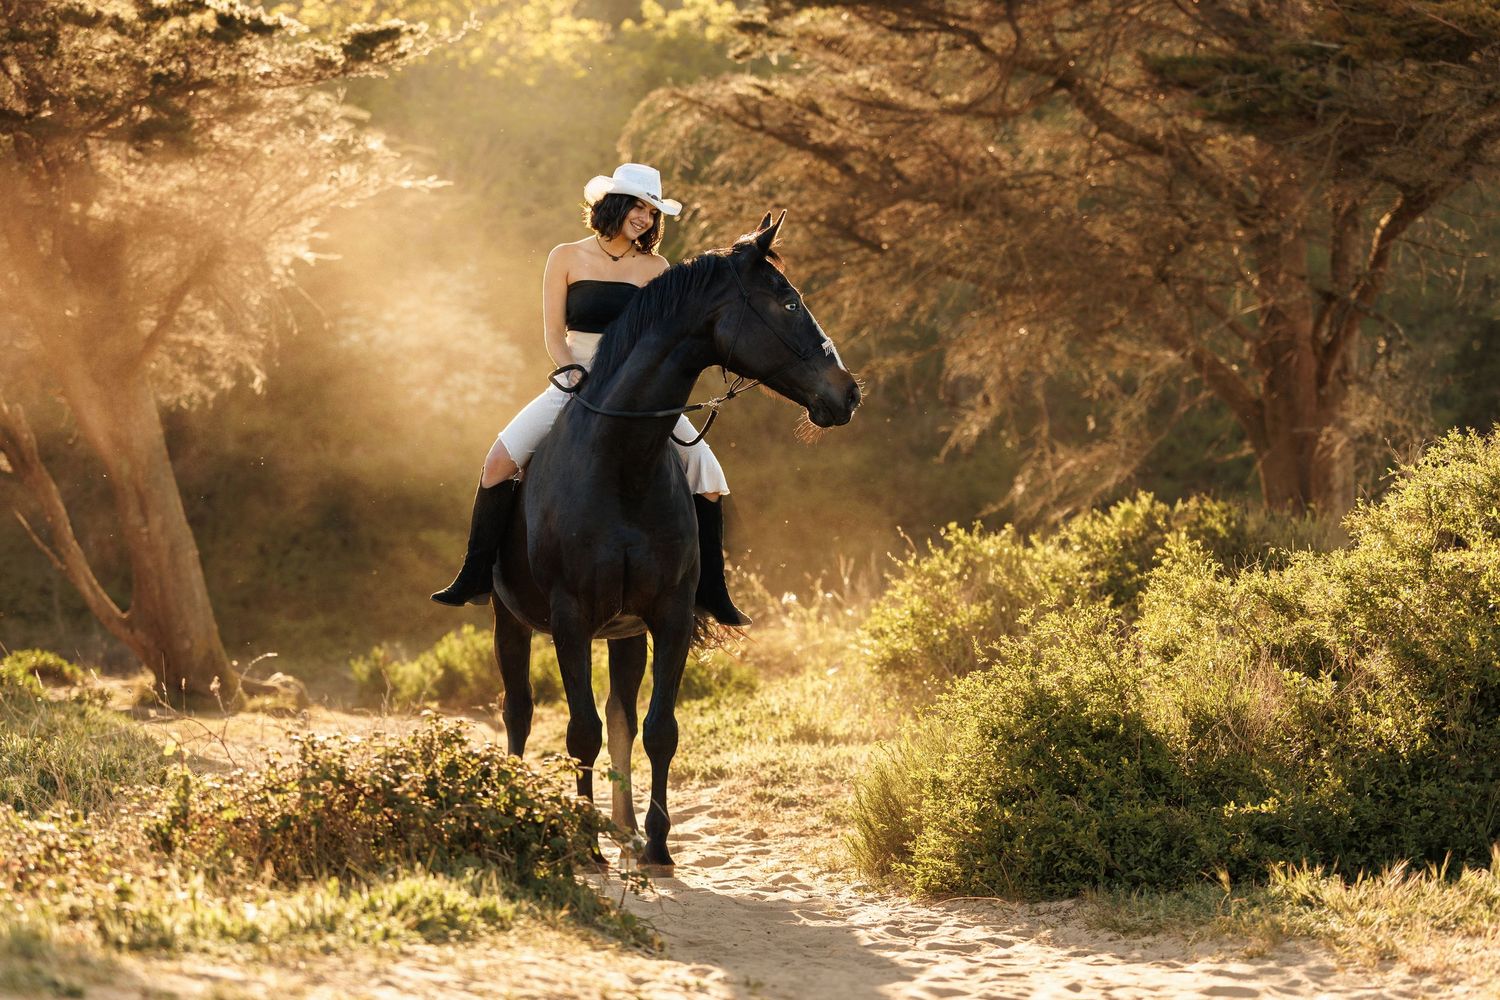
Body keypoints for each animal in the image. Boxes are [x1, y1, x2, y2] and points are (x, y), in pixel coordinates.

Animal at [489, 212, 860, 870]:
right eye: (789, 302)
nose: (848, 393)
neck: (621, 461)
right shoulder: (569, 618)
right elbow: (578, 730)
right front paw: (583, 843)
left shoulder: (668, 614)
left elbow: (658, 729)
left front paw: (657, 844)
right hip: (511, 620)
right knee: (520, 712)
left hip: (624, 632)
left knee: (620, 717)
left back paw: (623, 830)